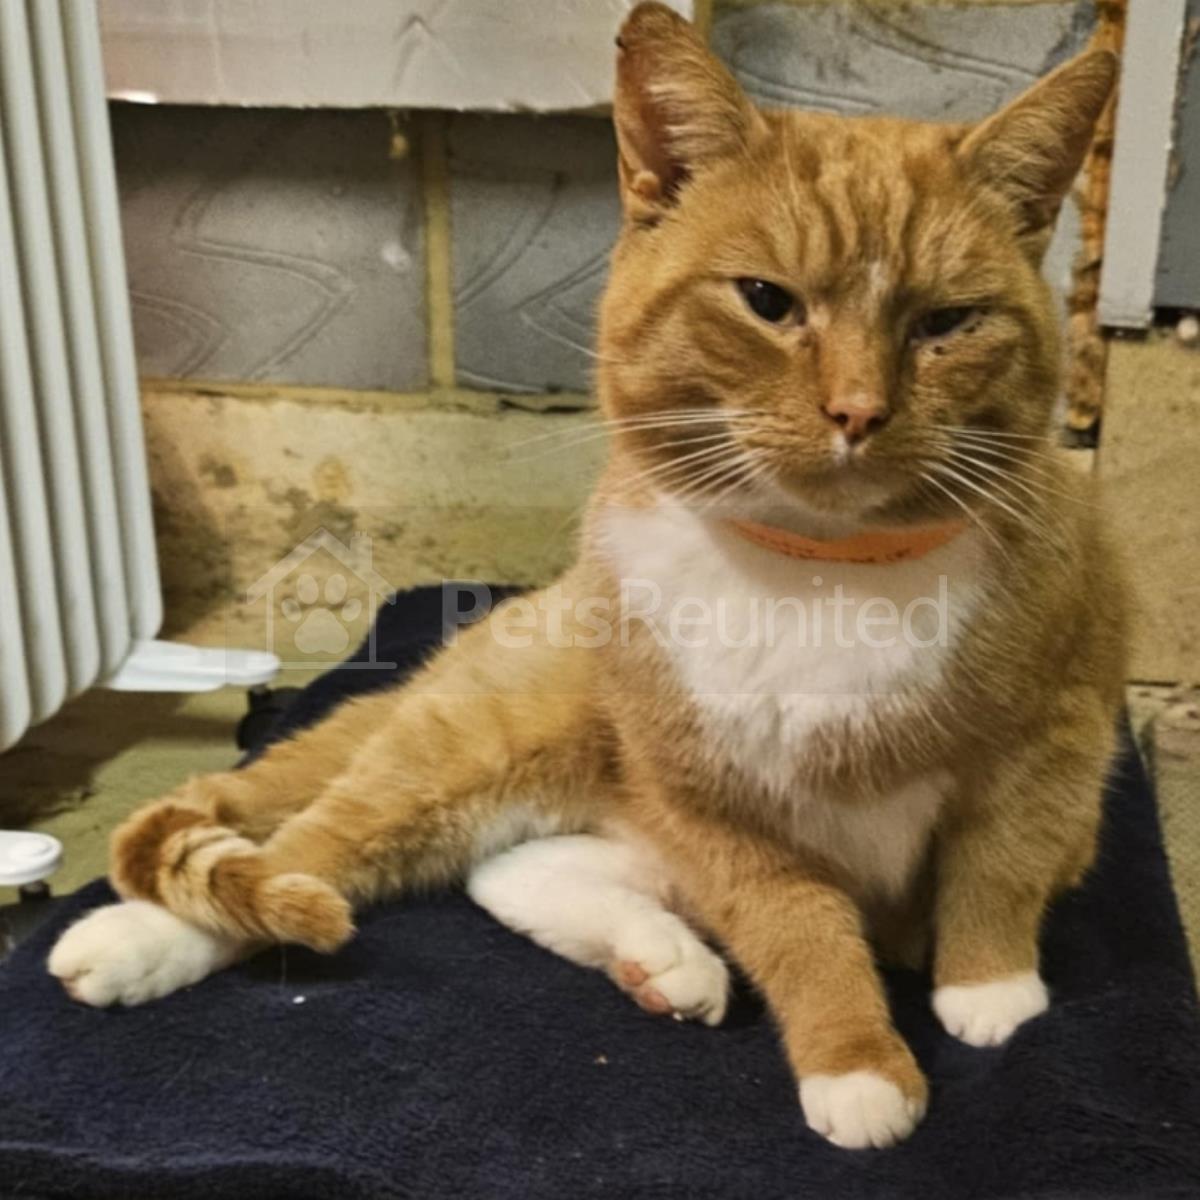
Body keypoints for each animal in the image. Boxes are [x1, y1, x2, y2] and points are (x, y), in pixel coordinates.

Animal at [49, 3, 1125, 1151]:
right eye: (766, 301)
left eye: (947, 324)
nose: (858, 410)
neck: (820, 571)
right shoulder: (709, 802)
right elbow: (797, 924)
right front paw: (858, 1062)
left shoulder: (1057, 742)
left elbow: (1001, 865)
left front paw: (988, 987)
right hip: (484, 748)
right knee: (305, 856)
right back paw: (132, 943)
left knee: (502, 870)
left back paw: (664, 962)